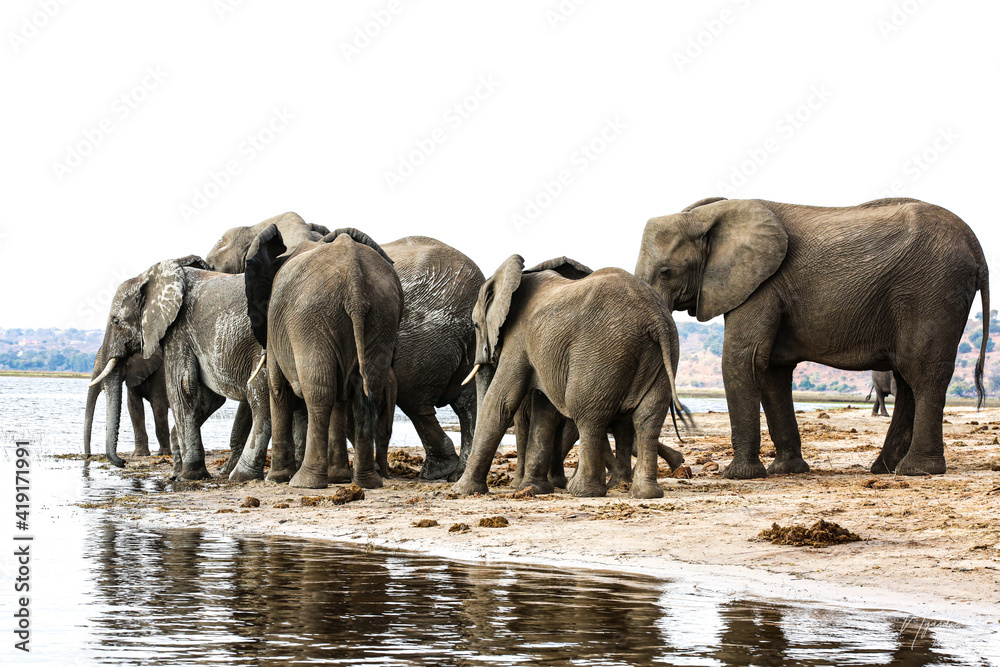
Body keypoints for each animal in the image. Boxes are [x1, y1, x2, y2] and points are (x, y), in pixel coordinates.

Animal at [94, 255, 270, 480]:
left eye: (115, 321)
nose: (123, 462)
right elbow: (208, 397)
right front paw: (176, 473)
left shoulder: (179, 330)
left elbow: (181, 387)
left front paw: (189, 475)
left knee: (260, 395)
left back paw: (242, 475)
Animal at [241, 225, 403, 489]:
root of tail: (354, 284)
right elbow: (342, 394)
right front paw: (339, 478)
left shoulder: (275, 328)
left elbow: (277, 388)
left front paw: (276, 479)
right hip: (382, 316)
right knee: (366, 393)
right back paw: (367, 482)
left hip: (309, 321)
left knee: (319, 394)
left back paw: (304, 482)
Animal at [452, 255, 684, 499]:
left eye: (475, 325)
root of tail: (656, 319)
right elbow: (545, 410)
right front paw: (536, 489)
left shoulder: (519, 339)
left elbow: (500, 402)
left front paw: (462, 490)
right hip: (664, 354)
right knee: (647, 418)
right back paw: (644, 493)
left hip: (601, 354)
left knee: (588, 414)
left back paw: (583, 491)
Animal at [635, 196, 989, 478]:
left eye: (666, 272)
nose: (680, 460)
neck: (709, 215)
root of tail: (977, 249)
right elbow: (772, 370)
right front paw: (786, 471)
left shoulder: (762, 285)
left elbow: (743, 359)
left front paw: (738, 476)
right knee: (907, 378)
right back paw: (884, 469)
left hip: (932, 291)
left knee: (922, 372)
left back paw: (917, 470)